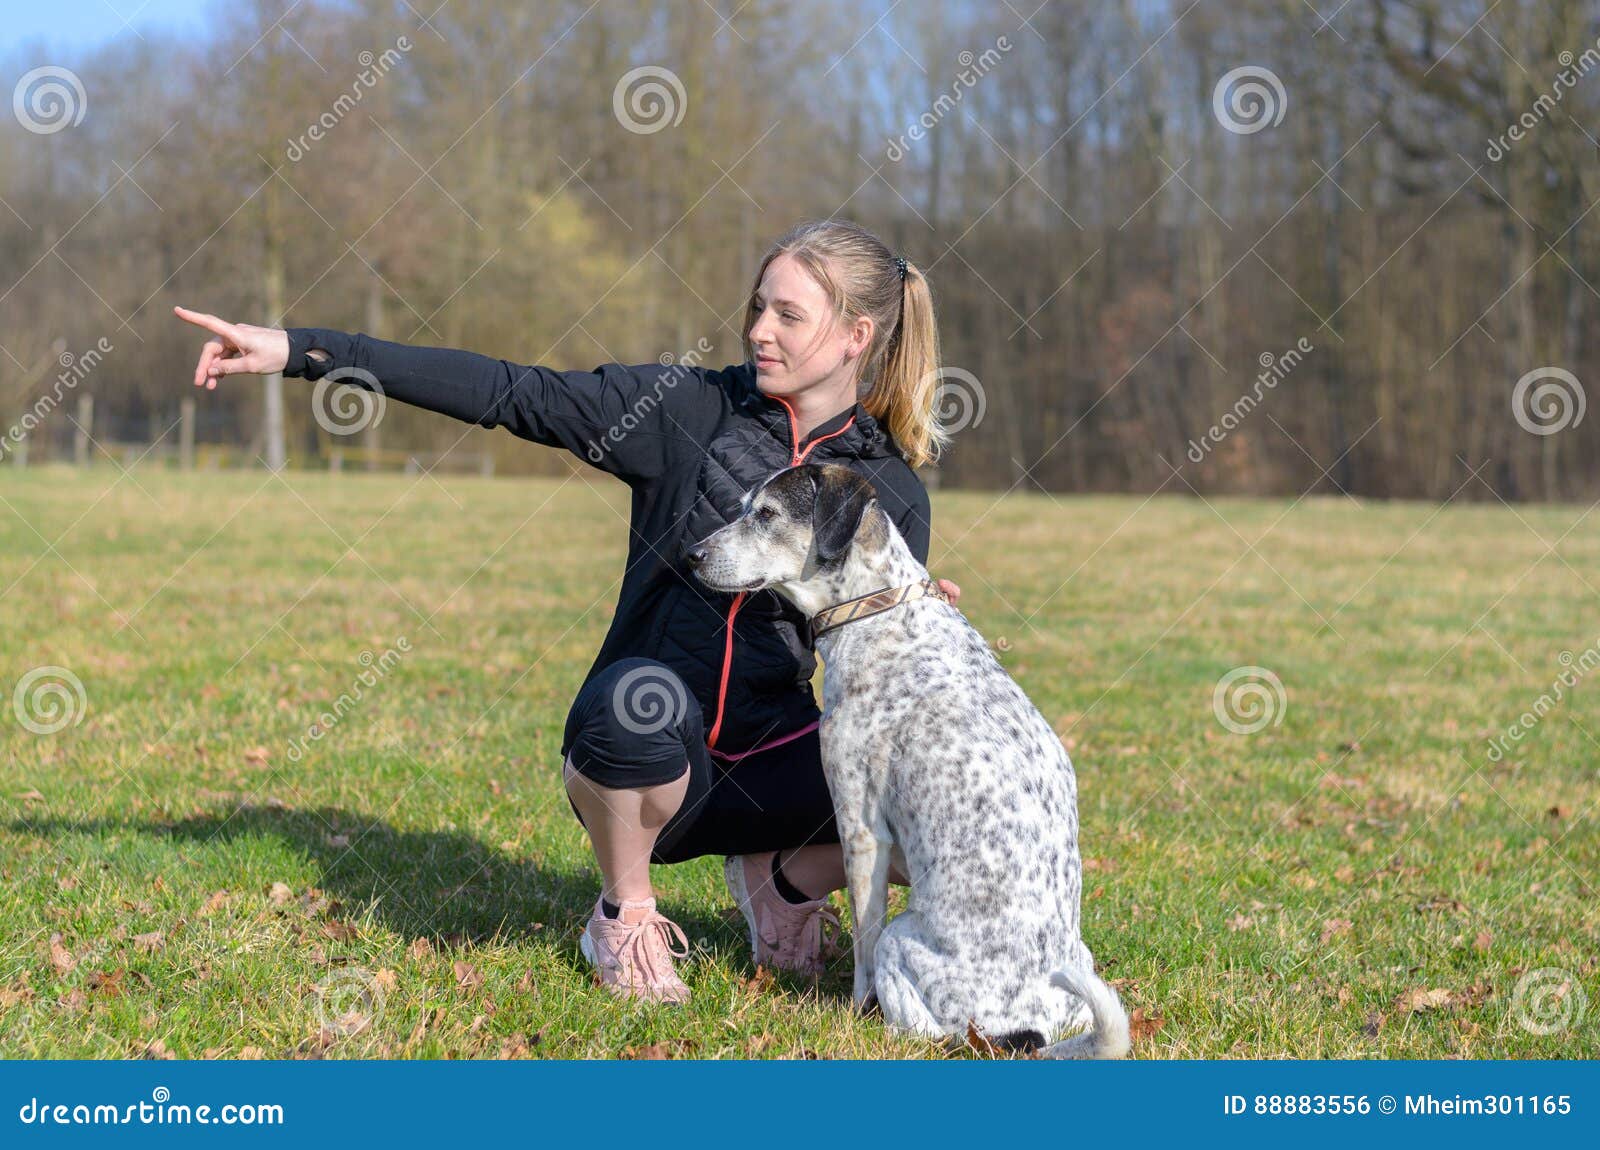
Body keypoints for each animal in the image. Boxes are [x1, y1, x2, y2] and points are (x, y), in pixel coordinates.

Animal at [688, 463, 1126, 1055]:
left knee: (922, 1027)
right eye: (742, 507)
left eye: (767, 514)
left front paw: (853, 1011)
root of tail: (1027, 1032)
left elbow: (863, 946)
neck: (876, 609)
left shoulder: (861, 829)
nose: (691, 555)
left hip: (903, 938)